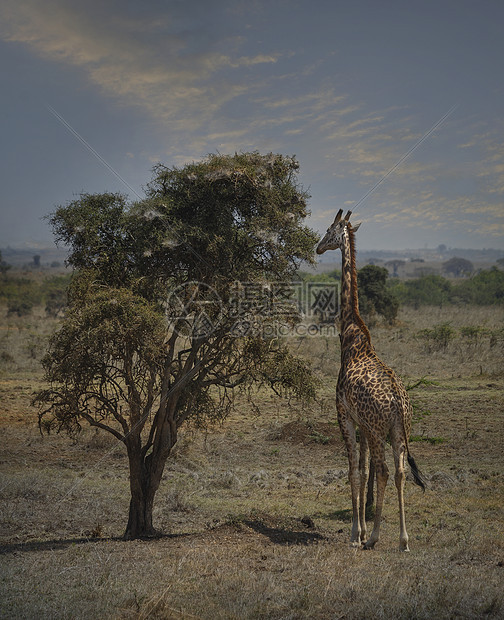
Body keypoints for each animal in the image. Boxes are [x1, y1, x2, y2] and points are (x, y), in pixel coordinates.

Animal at [316, 209, 424, 552]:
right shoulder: (363, 423)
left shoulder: (345, 415)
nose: (317, 248)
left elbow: (354, 471)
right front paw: (360, 530)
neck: (352, 334)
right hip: (400, 430)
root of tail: (399, 402)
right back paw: (403, 539)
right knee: (400, 471)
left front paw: (356, 534)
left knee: (386, 470)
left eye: (328, 230)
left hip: (380, 430)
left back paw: (376, 537)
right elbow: (363, 473)